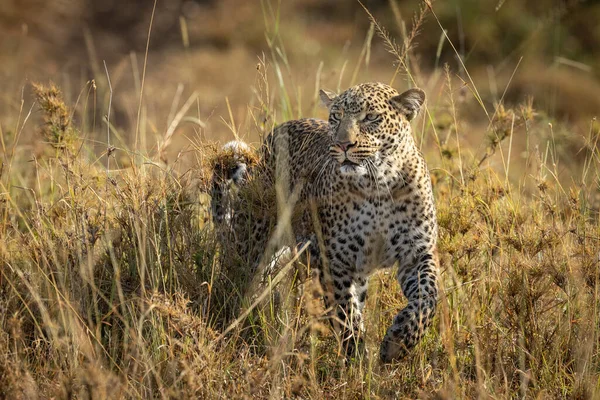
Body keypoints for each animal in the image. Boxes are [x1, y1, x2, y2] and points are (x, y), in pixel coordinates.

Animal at [211, 81, 440, 362]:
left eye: (370, 117)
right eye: (336, 116)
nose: (343, 145)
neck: (379, 184)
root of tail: (269, 140)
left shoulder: (417, 253)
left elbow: (427, 297)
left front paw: (399, 341)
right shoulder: (336, 262)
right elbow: (345, 315)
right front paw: (357, 359)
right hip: (252, 244)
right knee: (237, 282)